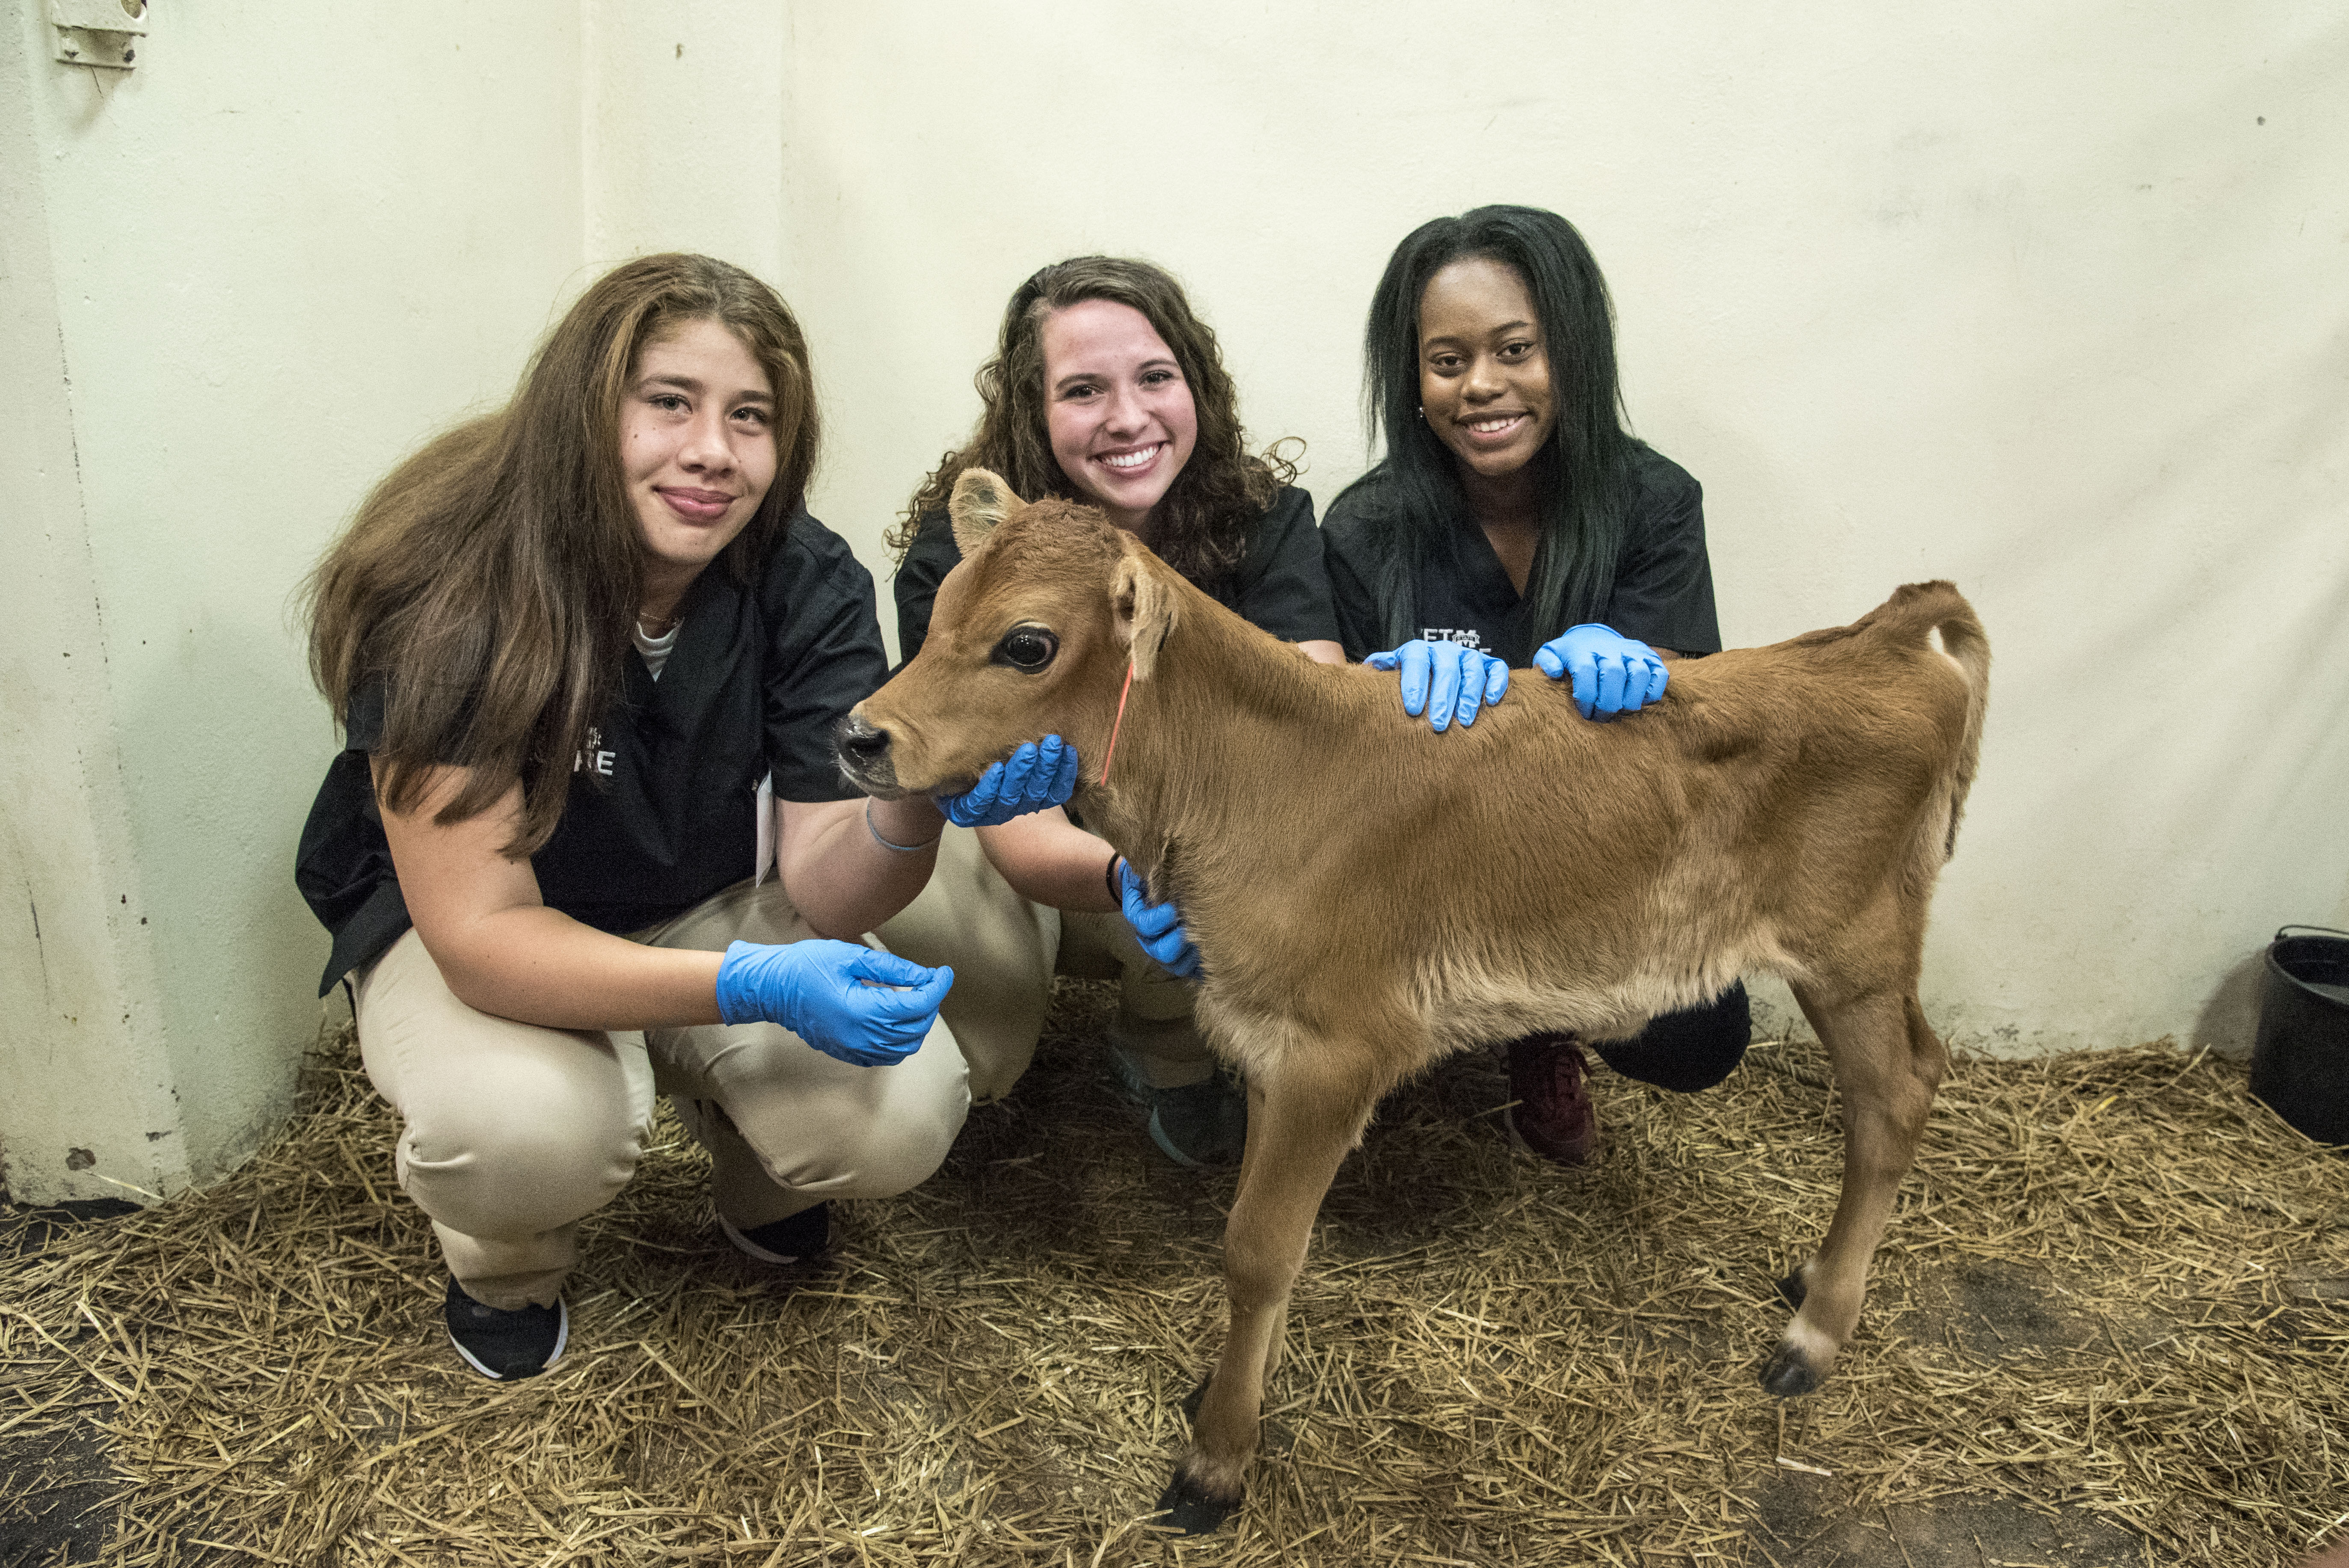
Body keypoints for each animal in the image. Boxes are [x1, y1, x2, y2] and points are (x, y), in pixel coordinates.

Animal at [836, 471, 1992, 1540]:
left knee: (1894, 1096)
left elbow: (1258, 1249)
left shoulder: (1339, 1049)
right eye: (939, 612)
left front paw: (1217, 1460)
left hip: (1853, 948)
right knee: (1916, 1073)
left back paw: (1814, 1335)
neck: (1250, 781)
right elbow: (1256, 1230)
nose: (859, 735)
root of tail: (1874, 640)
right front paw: (1225, 1396)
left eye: (1027, 643)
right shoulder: (1269, 1037)